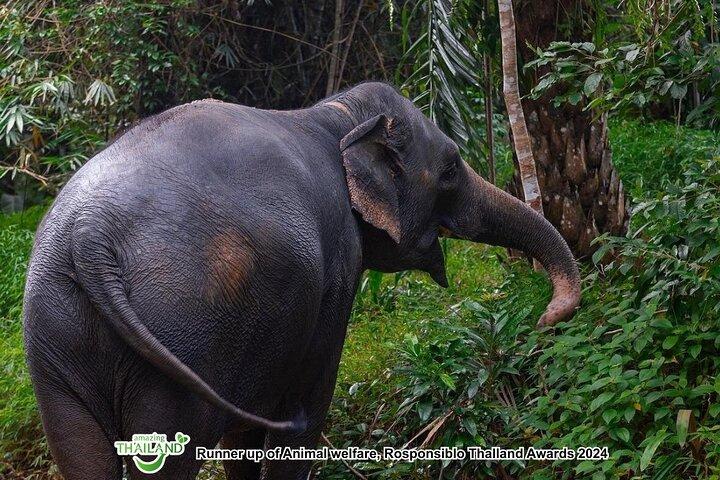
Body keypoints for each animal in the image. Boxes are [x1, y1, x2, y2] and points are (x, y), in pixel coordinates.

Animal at [23, 82, 580, 480]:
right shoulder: (335, 269)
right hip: (182, 331)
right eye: (449, 169)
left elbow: (244, 439)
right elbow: (307, 409)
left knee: (81, 453)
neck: (334, 114)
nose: (545, 317)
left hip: (57, 337)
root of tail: (89, 236)